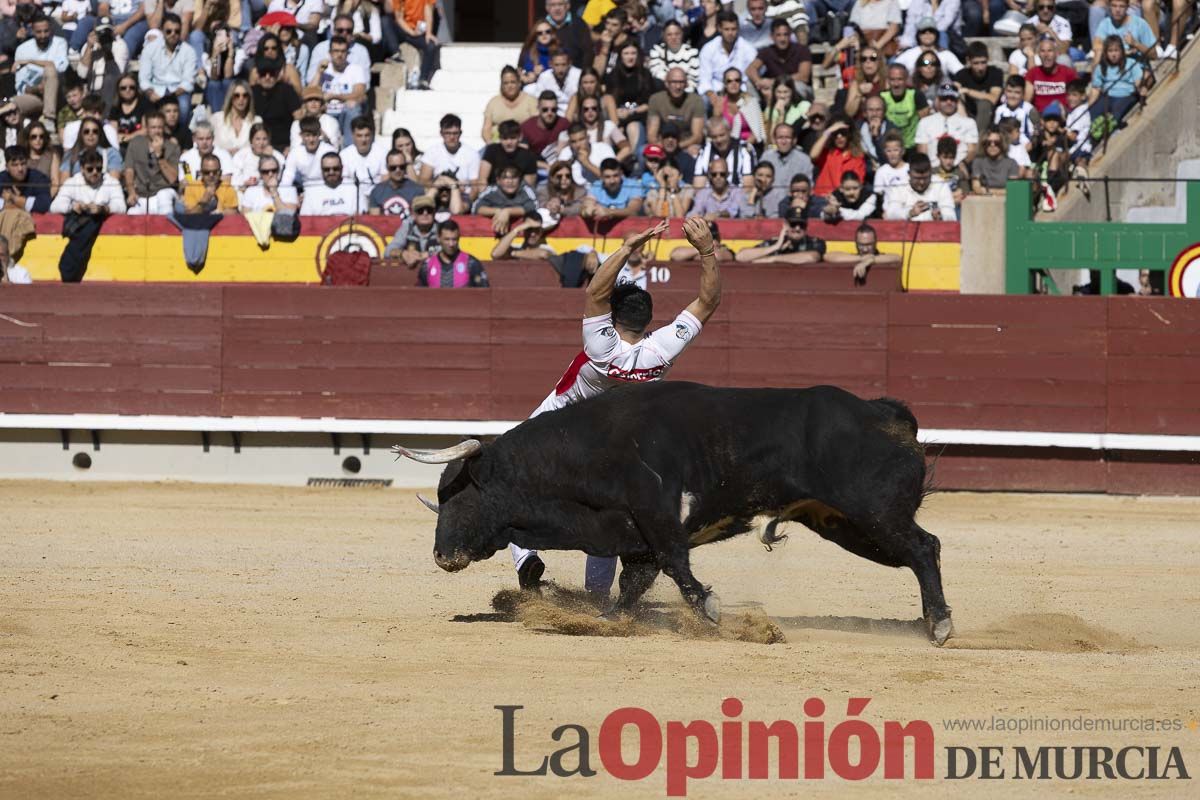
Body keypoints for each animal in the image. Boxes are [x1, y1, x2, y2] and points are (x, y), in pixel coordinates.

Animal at [405, 383, 955, 652]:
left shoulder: (656, 515)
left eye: (460, 497)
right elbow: (634, 583)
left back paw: (941, 626)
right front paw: (609, 621)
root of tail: (885, 413)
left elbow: (676, 564)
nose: (441, 556)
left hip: (873, 513)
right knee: (919, 551)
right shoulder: (634, 536)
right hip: (846, 524)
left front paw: (709, 611)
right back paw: (933, 623)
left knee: (924, 547)